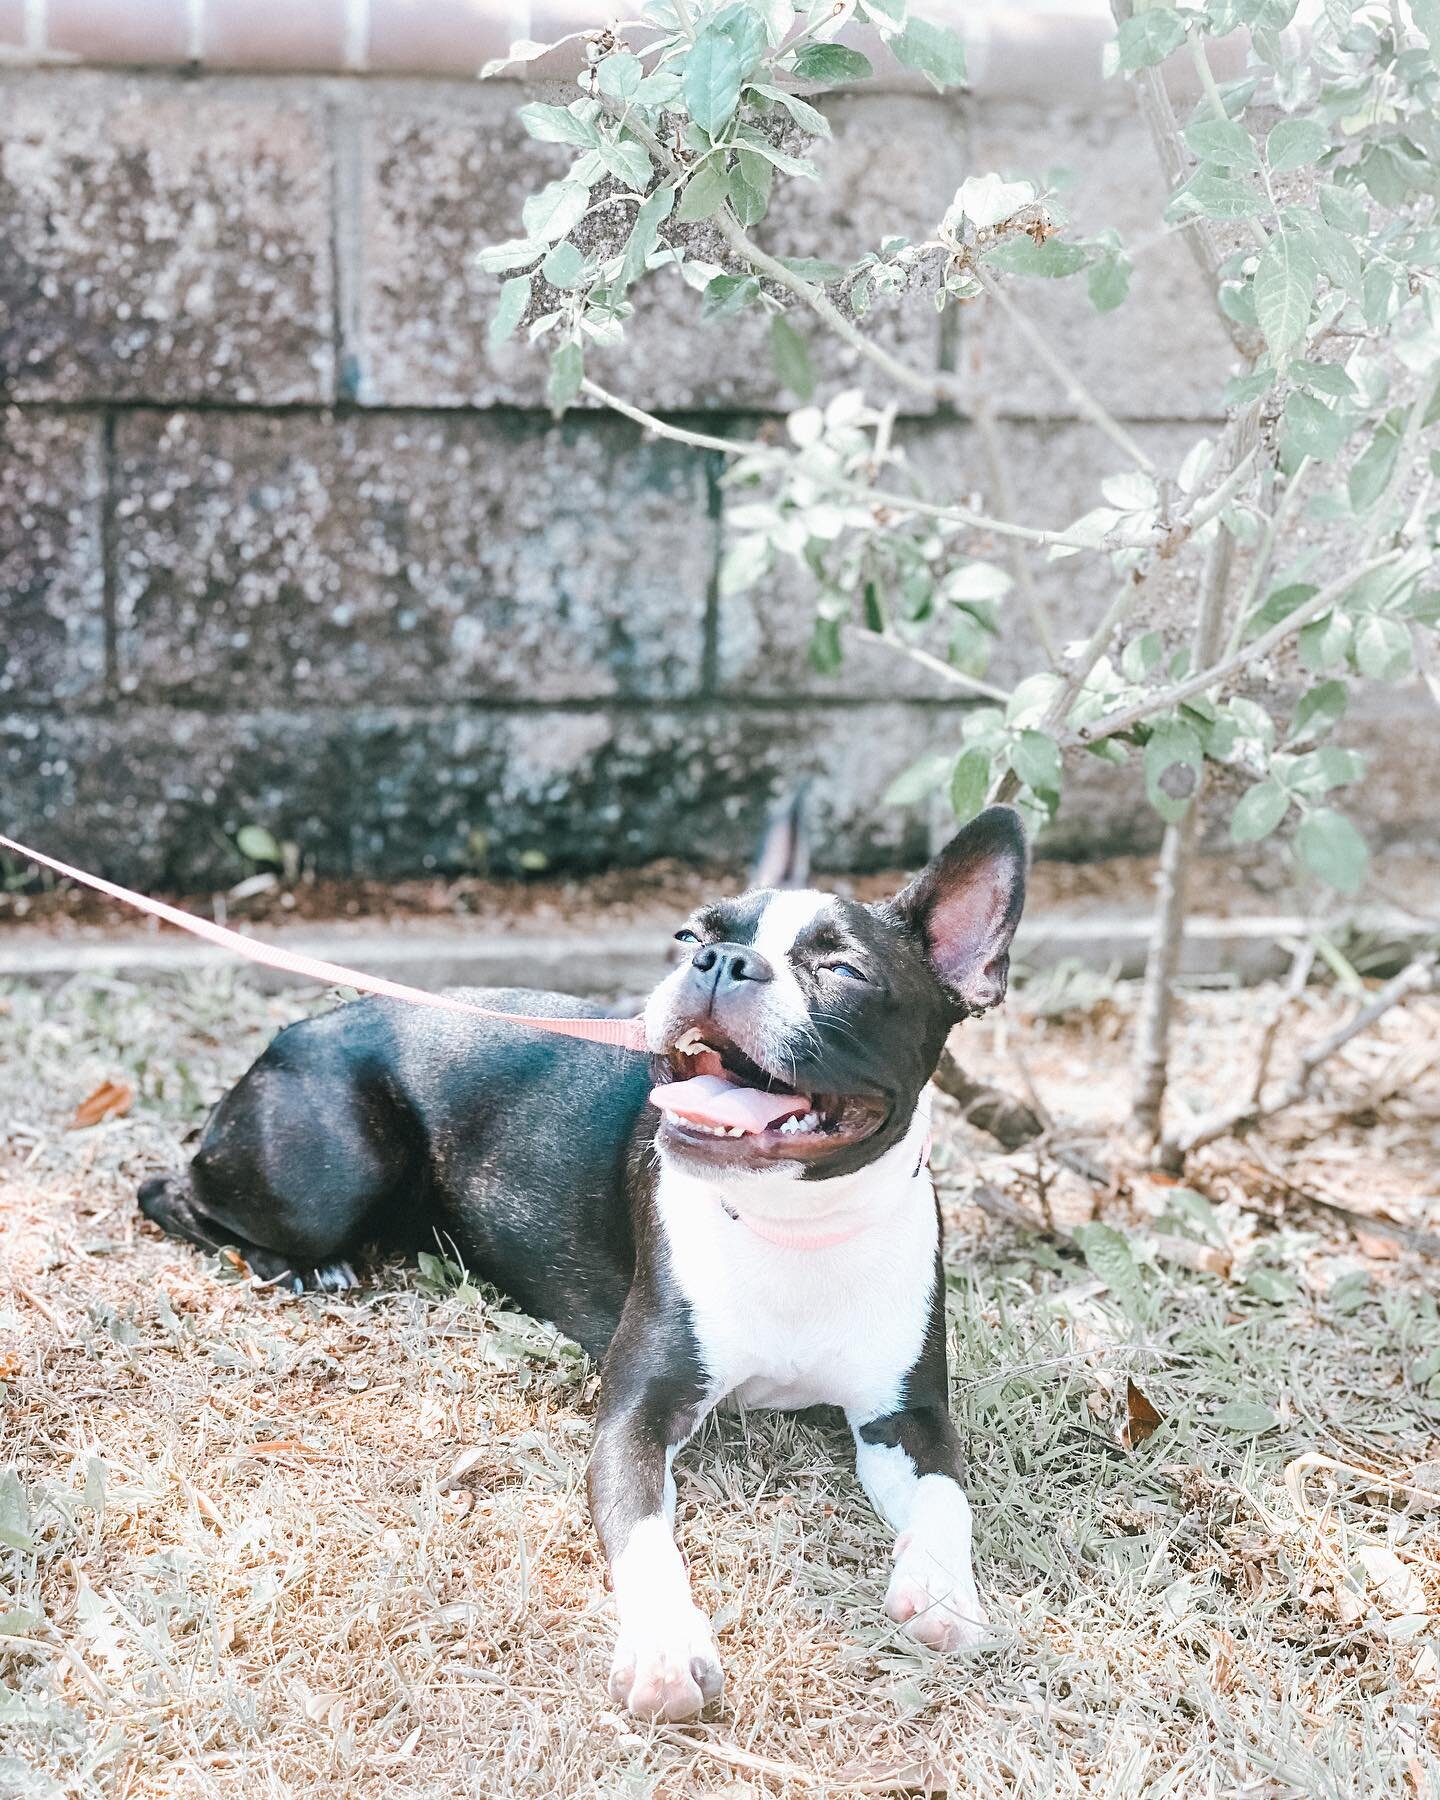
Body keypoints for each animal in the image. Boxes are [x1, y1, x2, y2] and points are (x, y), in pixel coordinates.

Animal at [140, 802, 1029, 1713]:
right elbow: (644, 1536)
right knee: (168, 1191)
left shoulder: (908, 1417)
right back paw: (301, 1266)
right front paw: (666, 1648)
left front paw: (945, 1592)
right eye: (688, 936)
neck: (791, 1223)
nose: (721, 961)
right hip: (331, 1172)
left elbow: (948, 1499)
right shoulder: (636, 1417)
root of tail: (301, 1028)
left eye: (843, 969)